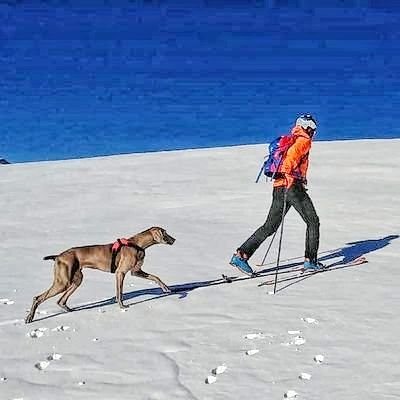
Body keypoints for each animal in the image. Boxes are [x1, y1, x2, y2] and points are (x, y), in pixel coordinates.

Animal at [25, 227, 175, 324]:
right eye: (165, 233)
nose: (174, 240)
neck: (137, 244)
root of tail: (58, 256)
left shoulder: (136, 271)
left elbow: (156, 277)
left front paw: (166, 289)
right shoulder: (120, 273)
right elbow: (119, 292)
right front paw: (122, 307)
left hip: (76, 280)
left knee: (60, 300)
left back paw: (70, 310)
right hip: (63, 282)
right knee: (37, 298)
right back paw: (29, 318)